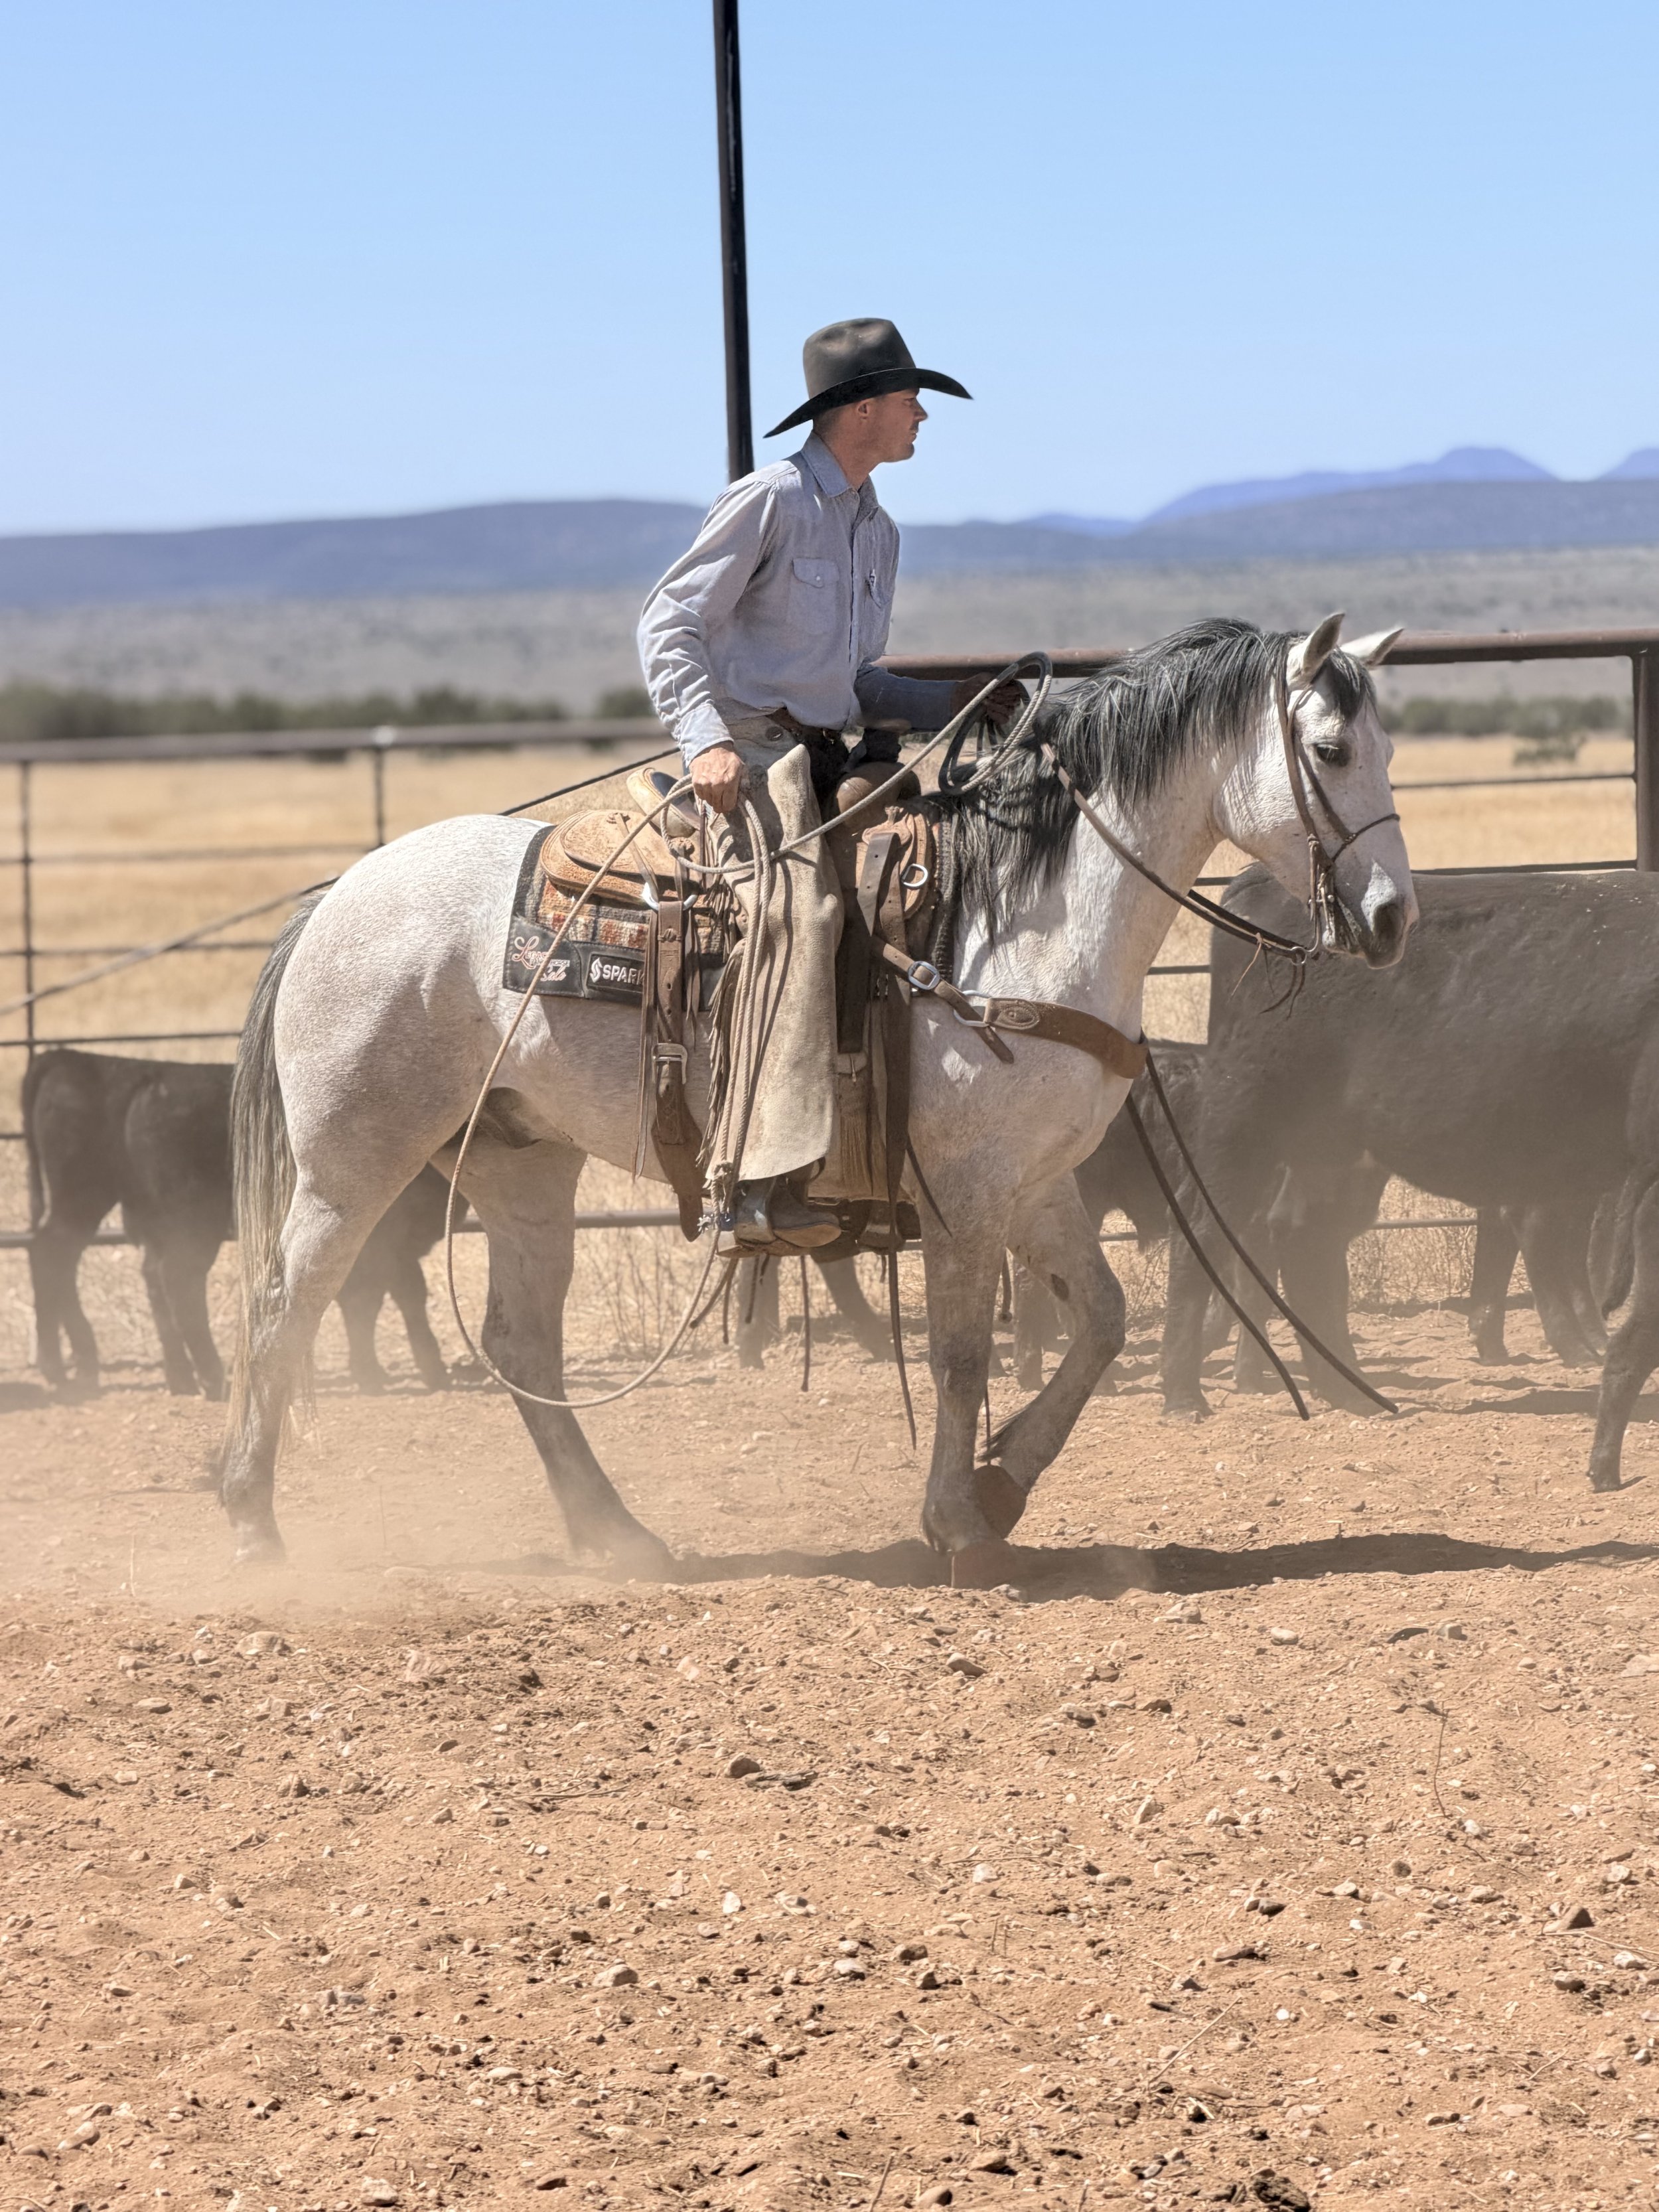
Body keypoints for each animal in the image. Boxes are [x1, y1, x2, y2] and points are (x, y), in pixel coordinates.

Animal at [219, 614, 1414, 1583]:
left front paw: (1003, 1482)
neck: (1017, 915)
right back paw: (251, 1525)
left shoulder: (1032, 1180)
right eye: (1329, 748)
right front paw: (959, 1522)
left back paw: (616, 1534)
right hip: (353, 1163)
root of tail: (338, 896)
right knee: (283, 1310)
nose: (1394, 916)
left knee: (519, 1344)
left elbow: (1105, 1320)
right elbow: (961, 1355)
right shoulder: (965, 1194)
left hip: (522, 1163)